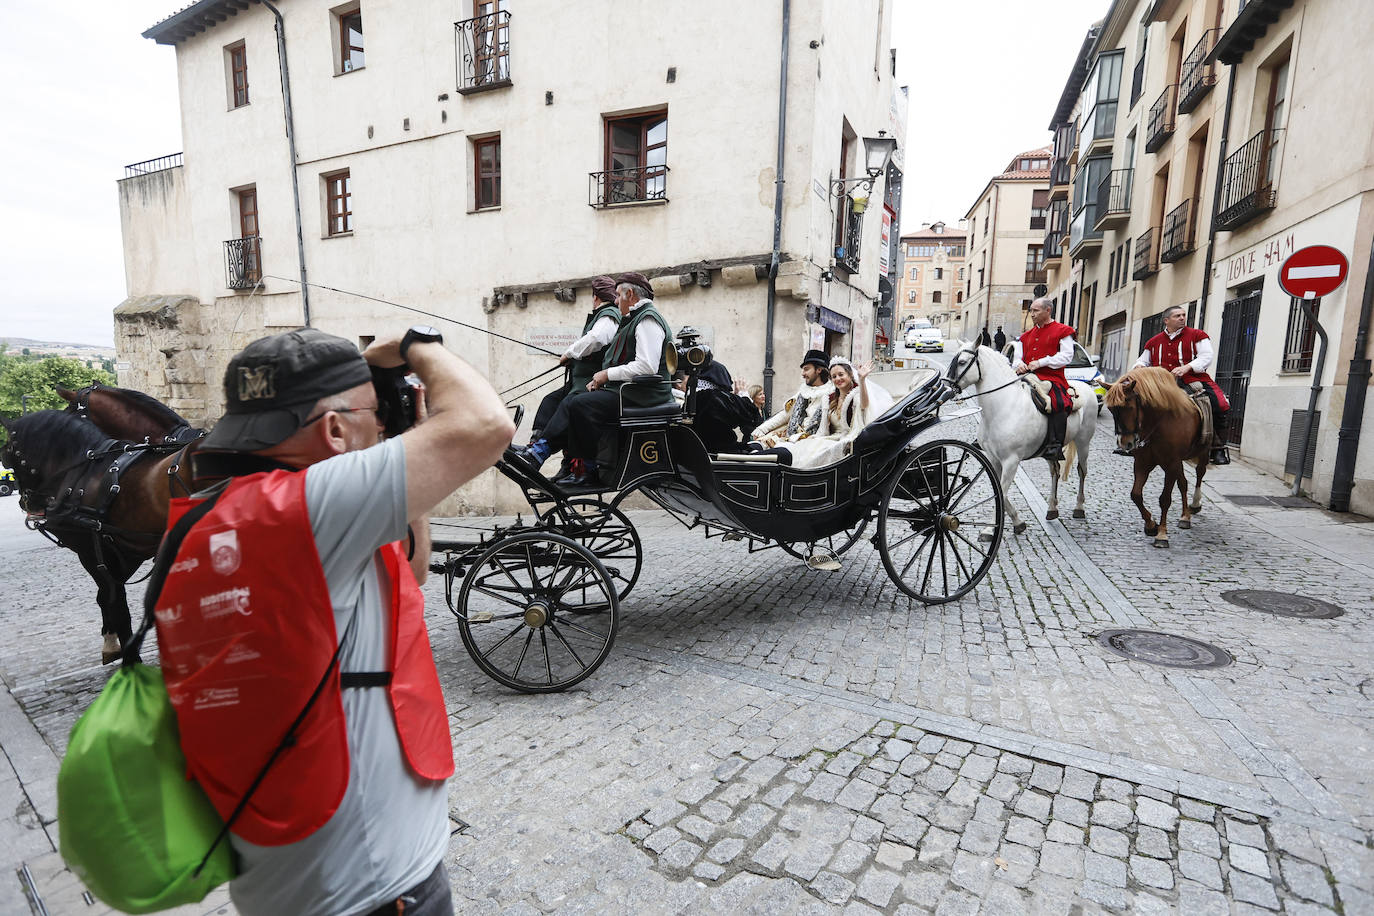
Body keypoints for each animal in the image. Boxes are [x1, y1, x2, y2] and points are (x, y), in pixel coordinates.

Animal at [0, 411, 199, 661]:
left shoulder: (93, 554)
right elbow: (110, 596)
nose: (26, 502)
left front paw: (129, 656)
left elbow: (115, 600)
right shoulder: (124, 549)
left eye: (8, 453)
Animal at [945, 343, 1093, 532]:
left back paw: (1079, 507)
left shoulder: (1011, 461)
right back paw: (1052, 508)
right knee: (1055, 471)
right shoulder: (993, 459)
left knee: (1082, 471)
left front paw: (990, 530)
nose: (945, 387)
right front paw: (1017, 521)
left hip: (1083, 442)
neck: (1003, 407)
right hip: (1050, 451)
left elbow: (1001, 492)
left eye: (962, 362)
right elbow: (998, 491)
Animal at [1104, 368, 1214, 552]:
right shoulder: (1143, 463)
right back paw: (1185, 516)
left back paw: (1194, 504)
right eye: (1111, 410)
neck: (1158, 423)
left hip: (1202, 452)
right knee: (1183, 483)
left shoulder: (1171, 463)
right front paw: (1151, 525)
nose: (1125, 443)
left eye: (1129, 407)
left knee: (1200, 472)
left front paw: (1162, 535)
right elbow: (1136, 495)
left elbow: (1165, 499)